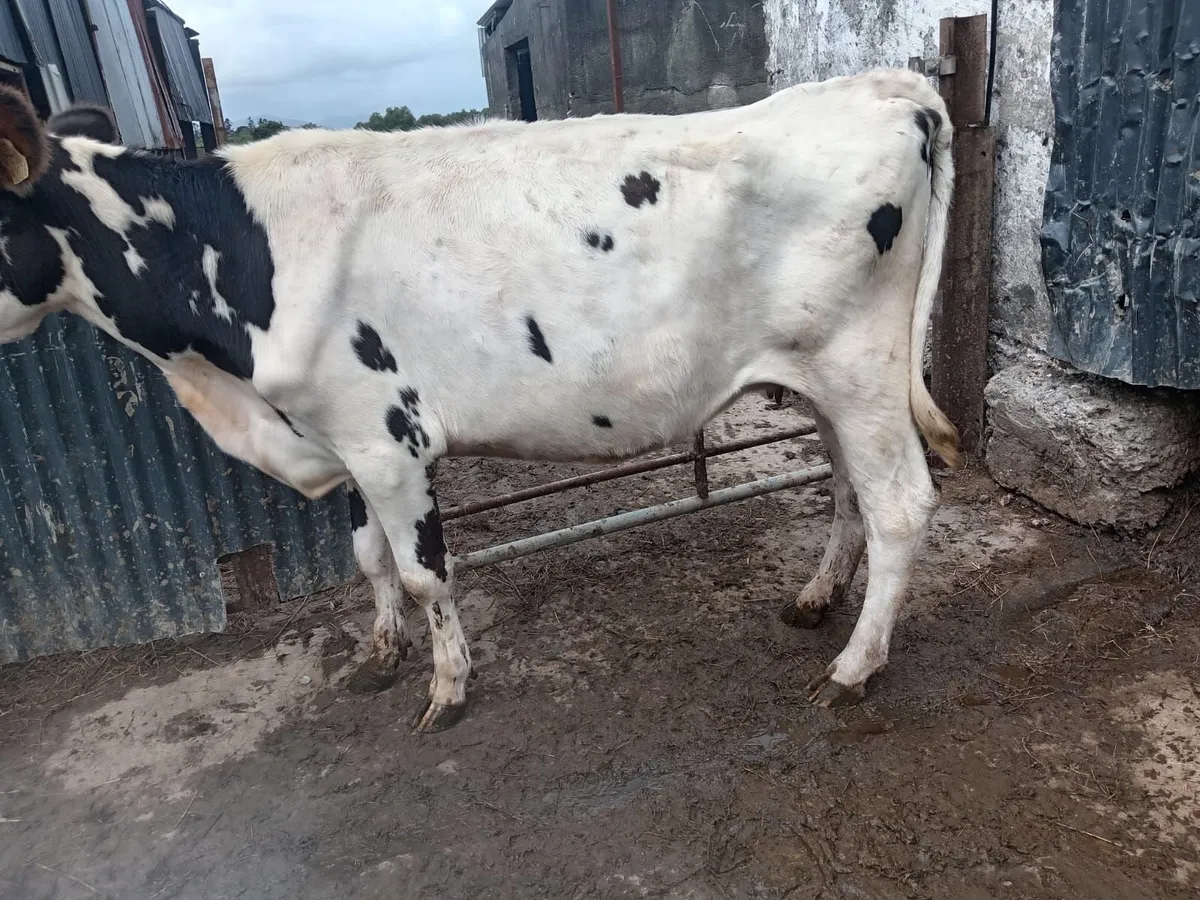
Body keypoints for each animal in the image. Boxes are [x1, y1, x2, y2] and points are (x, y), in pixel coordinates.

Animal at [0, 68, 959, 733]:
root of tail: (886, 86)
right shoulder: (345, 433)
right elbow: (368, 559)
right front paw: (379, 653)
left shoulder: (388, 440)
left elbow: (426, 571)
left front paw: (448, 687)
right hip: (821, 379)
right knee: (846, 487)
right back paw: (816, 598)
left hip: (861, 367)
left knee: (900, 506)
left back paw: (852, 668)